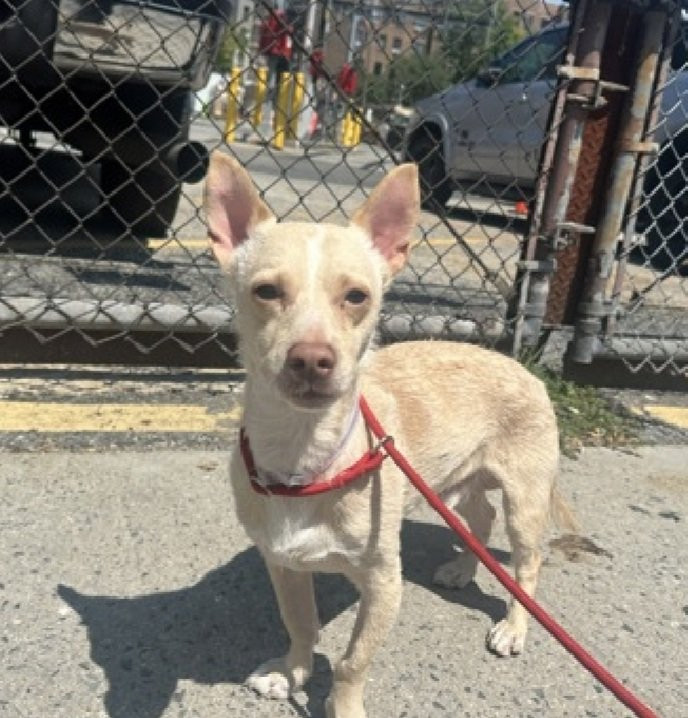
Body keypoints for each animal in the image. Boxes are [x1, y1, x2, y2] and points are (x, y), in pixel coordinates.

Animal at [204, 153, 569, 718]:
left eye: (357, 297)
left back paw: (514, 626)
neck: (305, 456)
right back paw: (462, 569)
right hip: (457, 485)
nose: (311, 359)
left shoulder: (383, 584)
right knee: (480, 521)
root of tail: (526, 366)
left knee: (528, 563)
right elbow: (301, 625)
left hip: (525, 501)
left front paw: (342, 705)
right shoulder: (284, 564)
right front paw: (292, 673)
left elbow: (352, 662)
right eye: (266, 291)